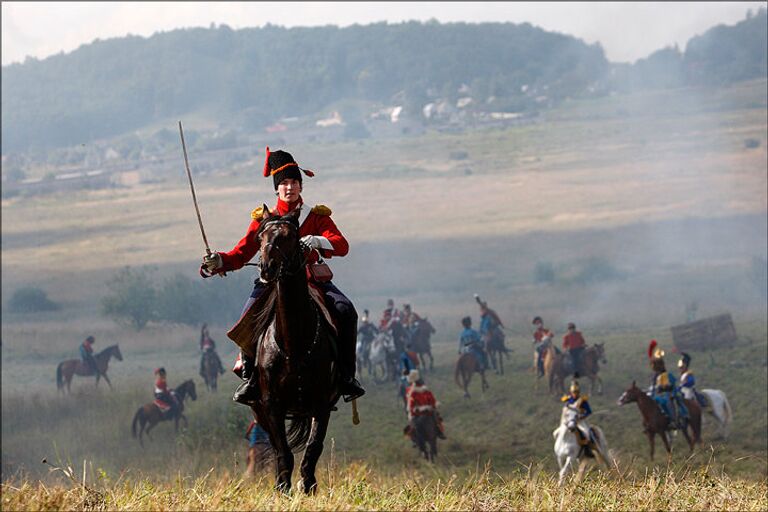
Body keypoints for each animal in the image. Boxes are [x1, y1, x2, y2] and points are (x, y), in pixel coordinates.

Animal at [228, 206, 344, 494]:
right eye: (260, 237)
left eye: (291, 237)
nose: (267, 268)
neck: (294, 341)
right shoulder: (271, 405)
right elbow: (283, 450)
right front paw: (282, 488)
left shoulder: (321, 403)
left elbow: (313, 448)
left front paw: (308, 486)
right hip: (259, 410)